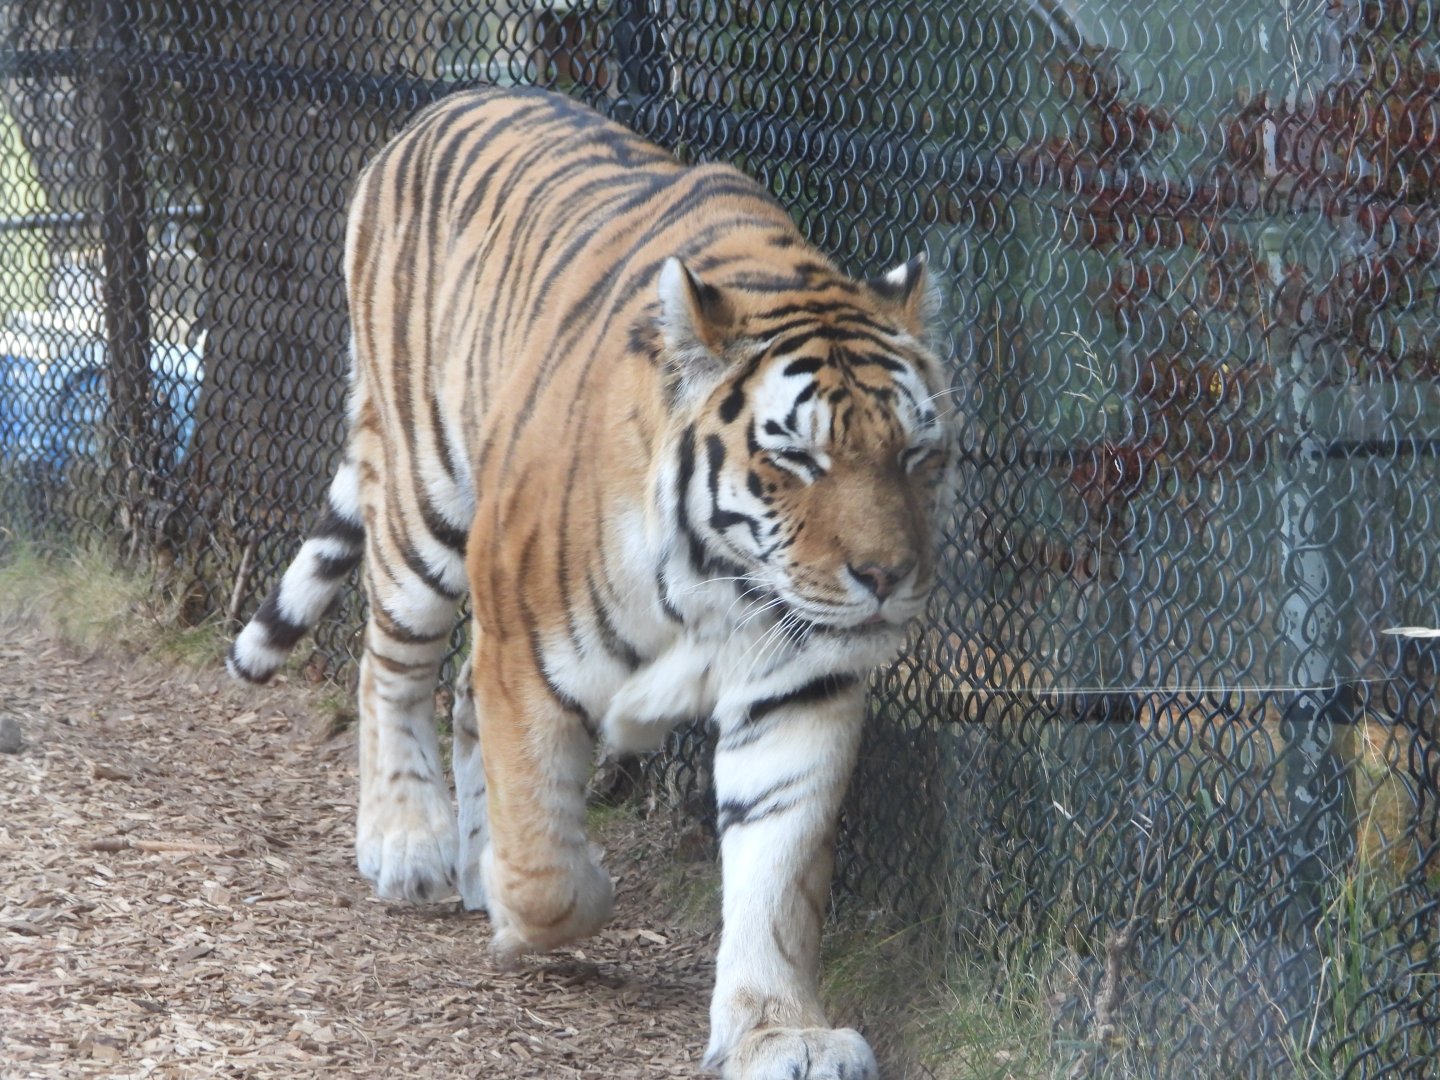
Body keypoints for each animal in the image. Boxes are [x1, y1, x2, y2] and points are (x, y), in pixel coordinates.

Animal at [228, 86, 954, 1079]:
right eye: (797, 458)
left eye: (916, 455)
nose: (888, 577)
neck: (719, 581)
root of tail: (438, 109)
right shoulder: (525, 651)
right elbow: (548, 870)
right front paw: (524, 894)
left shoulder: (798, 686)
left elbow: (775, 875)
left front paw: (779, 1032)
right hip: (424, 507)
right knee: (393, 667)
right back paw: (409, 844)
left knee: (452, 686)